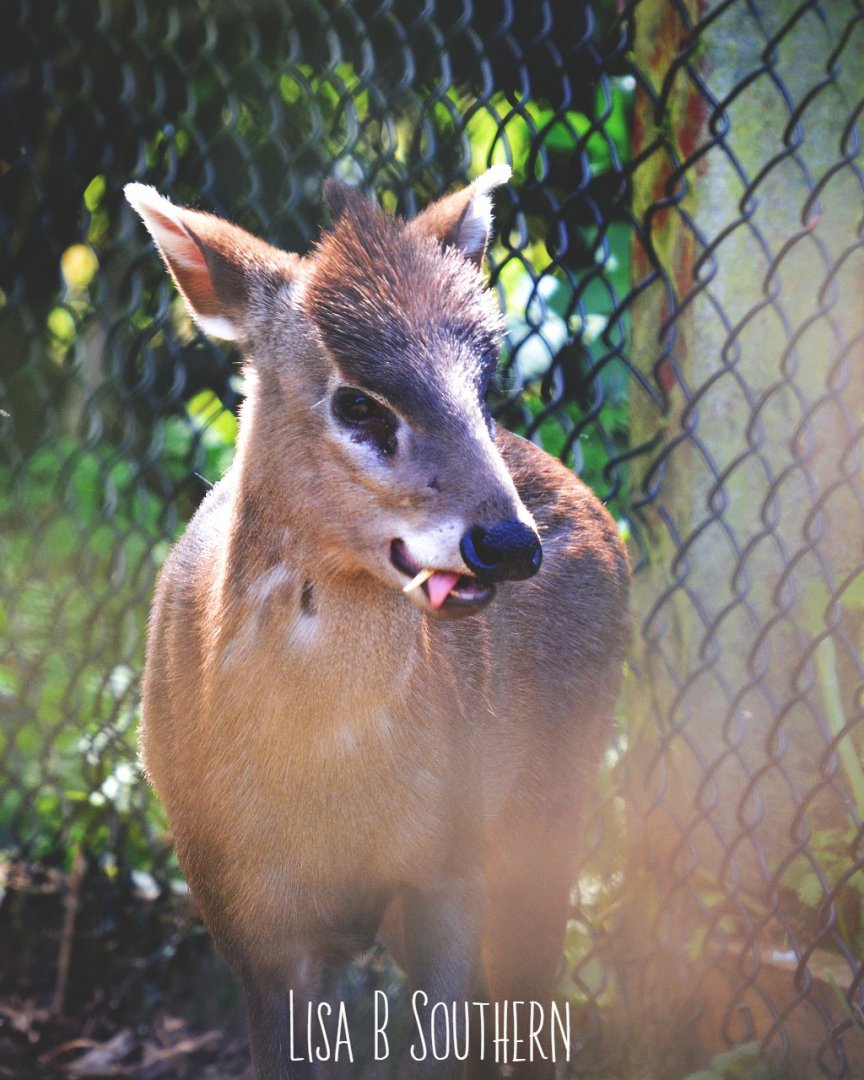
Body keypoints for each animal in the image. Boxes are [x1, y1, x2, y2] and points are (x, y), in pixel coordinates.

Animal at [125, 166, 629, 1080]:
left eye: (484, 386)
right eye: (358, 403)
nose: (508, 542)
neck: (321, 786)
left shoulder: (448, 862)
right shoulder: (245, 909)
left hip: (552, 804)